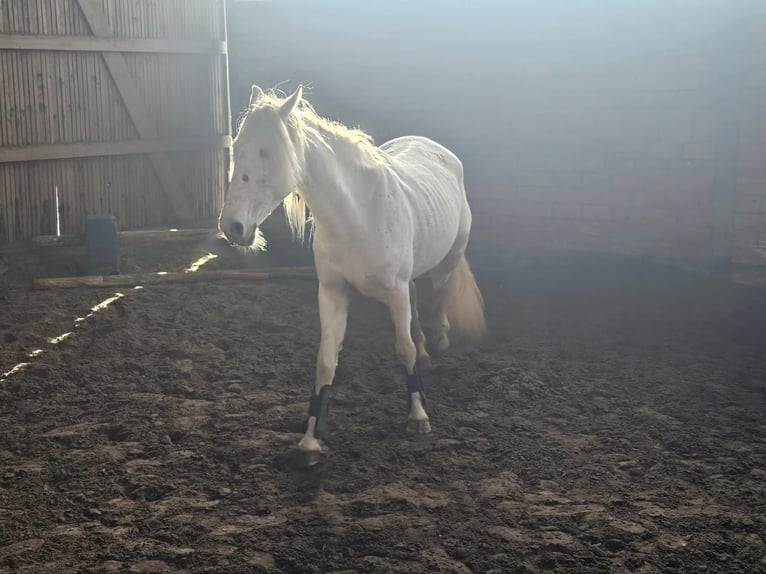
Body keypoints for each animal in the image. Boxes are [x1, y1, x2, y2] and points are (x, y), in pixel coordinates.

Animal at [219, 86, 488, 460]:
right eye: (237, 147)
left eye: (265, 151)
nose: (232, 227)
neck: (356, 214)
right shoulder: (332, 292)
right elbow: (325, 360)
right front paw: (311, 439)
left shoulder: (394, 290)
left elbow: (403, 348)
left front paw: (418, 416)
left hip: (448, 260)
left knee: (439, 294)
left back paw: (440, 341)